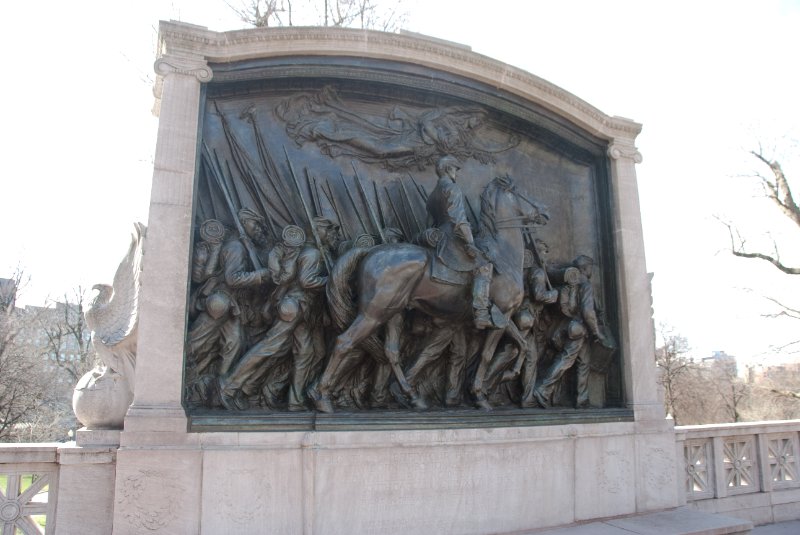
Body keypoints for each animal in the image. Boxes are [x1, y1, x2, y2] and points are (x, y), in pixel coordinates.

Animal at [310, 176, 548, 414]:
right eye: (521, 193)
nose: (545, 213)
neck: (503, 255)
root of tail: (370, 251)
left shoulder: (502, 317)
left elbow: (522, 344)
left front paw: (508, 375)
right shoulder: (501, 315)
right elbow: (487, 355)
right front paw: (480, 396)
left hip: (394, 313)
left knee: (391, 352)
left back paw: (412, 397)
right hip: (373, 315)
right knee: (344, 342)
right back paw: (323, 398)